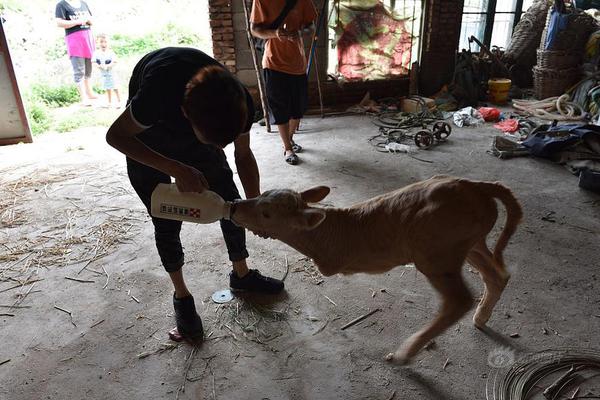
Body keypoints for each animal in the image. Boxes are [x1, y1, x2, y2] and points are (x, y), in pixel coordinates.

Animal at [230, 177, 520, 364]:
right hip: (470, 244)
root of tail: (475, 186)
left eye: (266, 213)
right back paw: (481, 317)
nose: (233, 205)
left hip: (436, 255)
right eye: (261, 194)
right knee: (497, 276)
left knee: (459, 301)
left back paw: (404, 354)